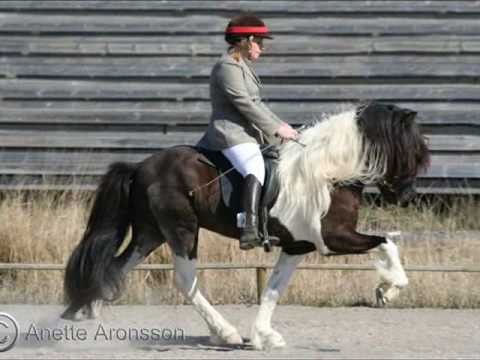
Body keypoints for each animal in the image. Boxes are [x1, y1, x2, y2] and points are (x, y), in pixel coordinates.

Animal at [61, 102, 432, 350]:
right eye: (413, 151)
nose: (407, 196)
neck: (329, 172)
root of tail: (140, 166)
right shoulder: (333, 239)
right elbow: (386, 242)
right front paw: (388, 289)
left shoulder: (298, 245)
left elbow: (273, 289)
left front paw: (263, 336)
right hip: (182, 230)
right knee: (184, 279)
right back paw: (224, 332)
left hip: (150, 234)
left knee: (116, 267)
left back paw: (90, 313)